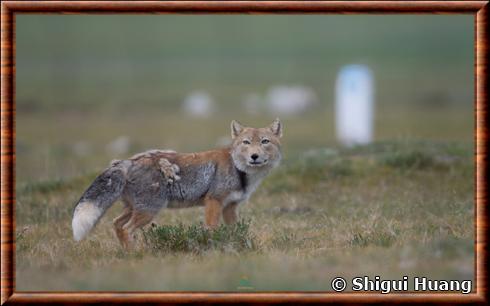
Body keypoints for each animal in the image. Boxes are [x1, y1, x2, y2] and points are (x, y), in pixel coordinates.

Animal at [71, 118, 282, 247]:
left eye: (264, 142)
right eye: (246, 143)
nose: (254, 156)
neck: (238, 169)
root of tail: (127, 161)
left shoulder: (230, 206)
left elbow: (236, 231)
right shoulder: (213, 202)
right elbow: (212, 229)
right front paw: (212, 246)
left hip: (134, 209)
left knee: (116, 224)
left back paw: (126, 253)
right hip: (149, 211)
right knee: (126, 229)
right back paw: (136, 254)